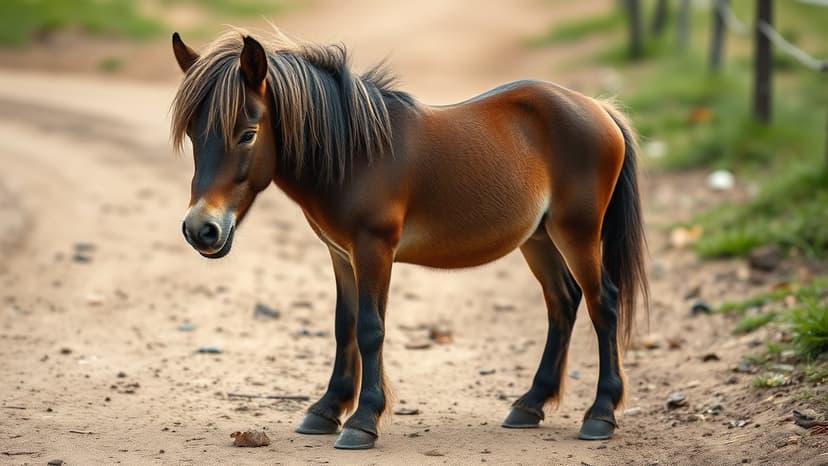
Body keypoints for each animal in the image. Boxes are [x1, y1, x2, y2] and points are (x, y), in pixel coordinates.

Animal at [171, 29, 649, 450]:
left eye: (247, 133)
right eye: (194, 134)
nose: (201, 229)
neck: (357, 154)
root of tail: (600, 110)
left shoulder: (374, 249)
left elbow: (370, 329)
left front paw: (362, 421)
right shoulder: (341, 254)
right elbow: (344, 326)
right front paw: (326, 410)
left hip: (576, 232)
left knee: (602, 304)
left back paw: (600, 415)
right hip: (539, 237)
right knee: (562, 303)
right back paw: (529, 405)